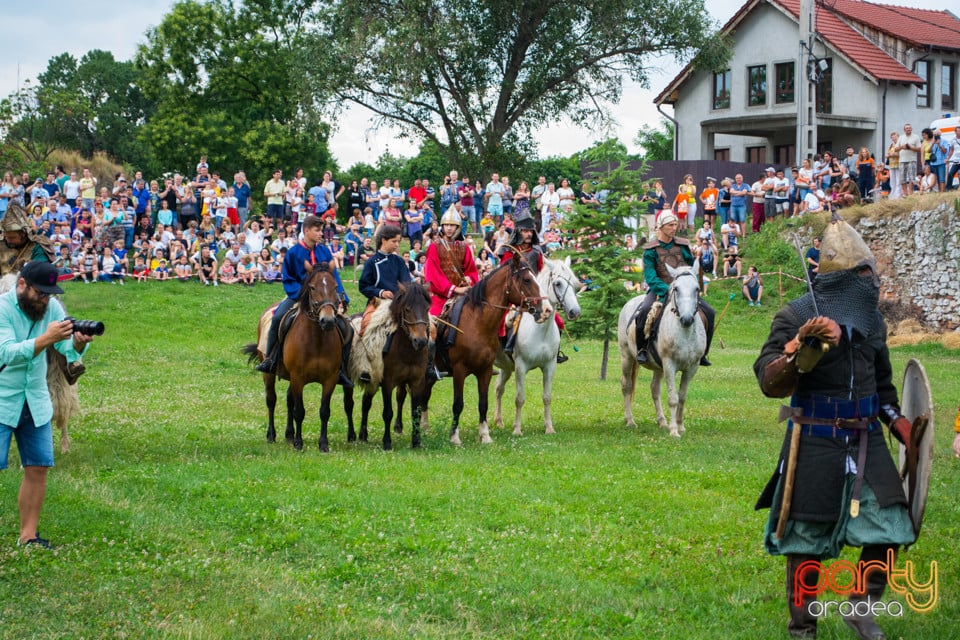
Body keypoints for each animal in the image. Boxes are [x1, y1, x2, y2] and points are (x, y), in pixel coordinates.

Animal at [244, 268, 344, 452]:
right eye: (312, 287)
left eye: (335, 286)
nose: (327, 320)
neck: (316, 340)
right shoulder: (298, 378)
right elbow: (299, 411)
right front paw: (299, 443)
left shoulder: (330, 379)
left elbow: (324, 411)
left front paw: (323, 444)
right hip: (269, 374)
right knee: (271, 400)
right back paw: (271, 435)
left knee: (289, 400)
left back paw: (289, 434)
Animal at [344, 280, 430, 450]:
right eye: (407, 309)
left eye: (426, 308)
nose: (421, 341)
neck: (406, 351)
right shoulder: (387, 383)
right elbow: (388, 413)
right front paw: (387, 442)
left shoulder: (417, 382)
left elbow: (415, 412)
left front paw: (416, 441)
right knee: (349, 404)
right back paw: (351, 435)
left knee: (365, 403)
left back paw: (363, 434)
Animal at [416, 254, 544, 444]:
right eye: (527, 280)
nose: (543, 310)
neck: (476, 323)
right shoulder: (459, 371)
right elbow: (458, 404)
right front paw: (454, 437)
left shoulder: (485, 370)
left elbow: (483, 403)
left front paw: (484, 435)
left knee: (424, 397)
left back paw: (425, 429)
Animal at [492, 255, 580, 436]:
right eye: (558, 283)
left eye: (573, 283)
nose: (575, 312)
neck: (540, 330)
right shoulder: (521, 367)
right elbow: (519, 399)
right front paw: (517, 429)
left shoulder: (549, 366)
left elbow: (547, 397)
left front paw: (549, 428)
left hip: (506, 367)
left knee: (498, 389)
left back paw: (499, 421)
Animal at [616, 262, 704, 438]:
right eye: (676, 288)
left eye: (697, 288)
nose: (686, 319)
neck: (684, 333)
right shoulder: (669, 365)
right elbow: (673, 398)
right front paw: (674, 431)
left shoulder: (692, 367)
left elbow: (682, 397)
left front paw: (680, 426)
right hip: (627, 357)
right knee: (626, 385)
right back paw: (630, 421)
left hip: (658, 367)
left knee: (654, 389)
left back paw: (662, 421)